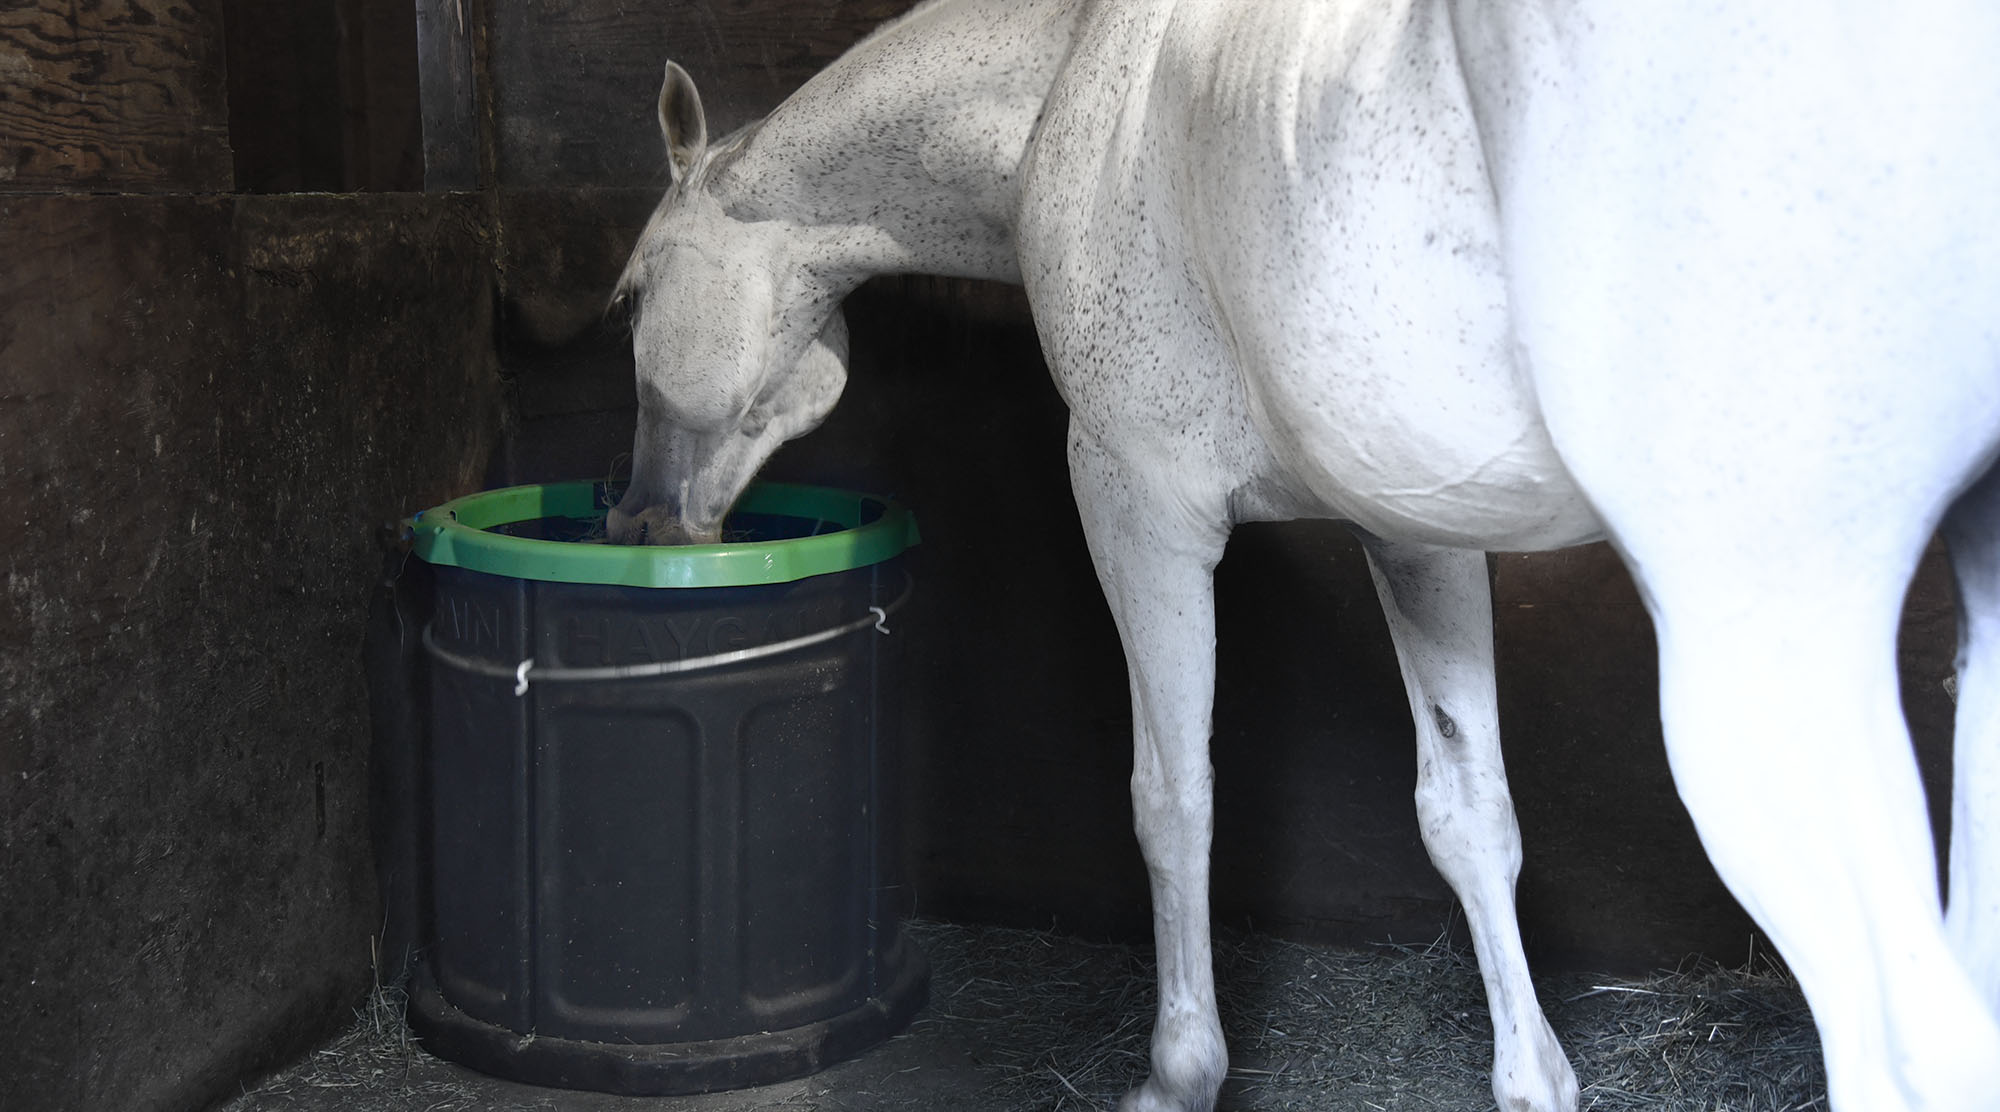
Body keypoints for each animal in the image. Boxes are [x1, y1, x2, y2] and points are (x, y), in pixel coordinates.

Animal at [609, 1, 2000, 1110]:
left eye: (626, 294)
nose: (638, 519)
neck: (1072, 99)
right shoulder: (1414, 527)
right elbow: (1466, 809)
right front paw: (1531, 1075)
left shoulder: (1136, 499)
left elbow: (1171, 794)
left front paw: (1178, 1073)